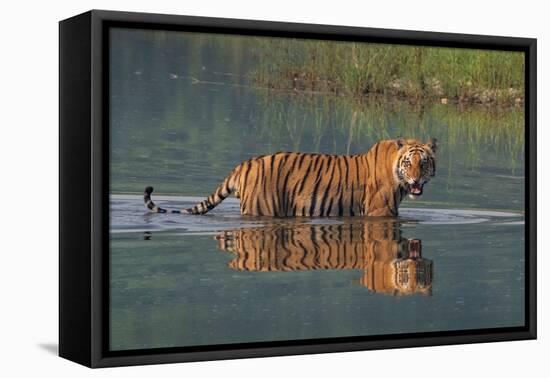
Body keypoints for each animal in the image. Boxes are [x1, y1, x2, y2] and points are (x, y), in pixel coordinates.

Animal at [144, 137, 438, 217]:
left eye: (423, 164)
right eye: (409, 163)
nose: (415, 180)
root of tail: (243, 165)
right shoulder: (380, 212)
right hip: (261, 208)